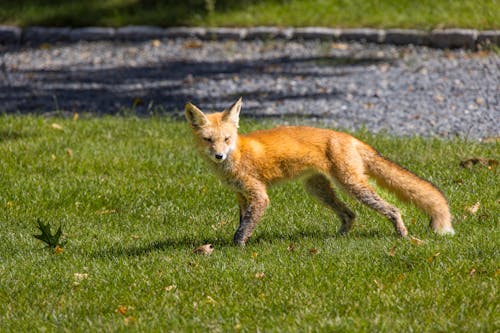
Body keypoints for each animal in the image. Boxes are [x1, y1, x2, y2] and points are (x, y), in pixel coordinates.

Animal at [186, 97, 456, 245]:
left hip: (351, 185)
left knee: (392, 208)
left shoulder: (259, 195)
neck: (238, 154)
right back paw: (338, 238)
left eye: (227, 139)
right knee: (350, 214)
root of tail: (349, 137)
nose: (219, 155)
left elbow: (244, 227)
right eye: (209, 140)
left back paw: (402, 233)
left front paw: (236, 247)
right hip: (318, 189)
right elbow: (244, 221)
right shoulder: (242, 195)